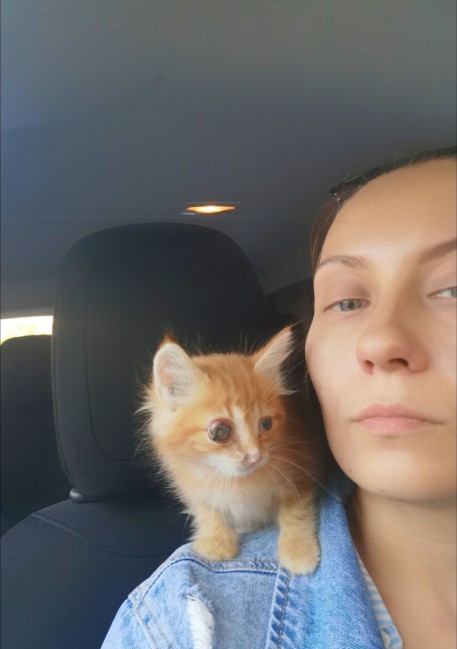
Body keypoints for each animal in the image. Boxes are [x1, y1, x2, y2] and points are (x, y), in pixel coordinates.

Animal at [140, 324, 321, 574]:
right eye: (220, 431)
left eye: (266, 424)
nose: (255, 455)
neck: (231, 480)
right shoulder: (191, 485)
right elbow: (206, 509)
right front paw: (216, 541)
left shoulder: (301, 468)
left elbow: (296, 510)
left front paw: (298, 550)